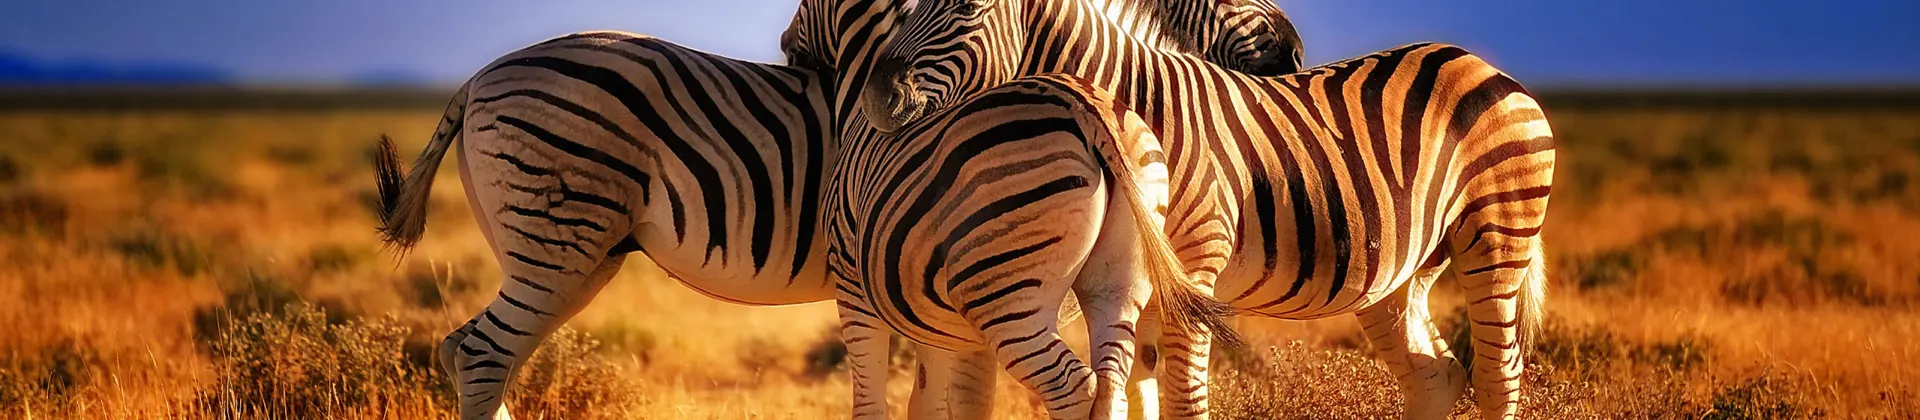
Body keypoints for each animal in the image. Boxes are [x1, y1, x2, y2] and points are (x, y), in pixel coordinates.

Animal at [366, 0, 1307, 418]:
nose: (1295, 51)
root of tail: (483, 77)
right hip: (558, 233)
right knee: (482, 350)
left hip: (577, 253)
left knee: (478, 350)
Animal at [852, 0, 1557, 418]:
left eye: (967, 6)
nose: (877, 98)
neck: (1131, 103)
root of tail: (1481, 63)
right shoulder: (1134, 282)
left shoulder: (1194, 267)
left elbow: (1183, 400)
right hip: (1402, 273)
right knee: (1437, 376)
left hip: (1496, 236)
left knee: (1499, 377)